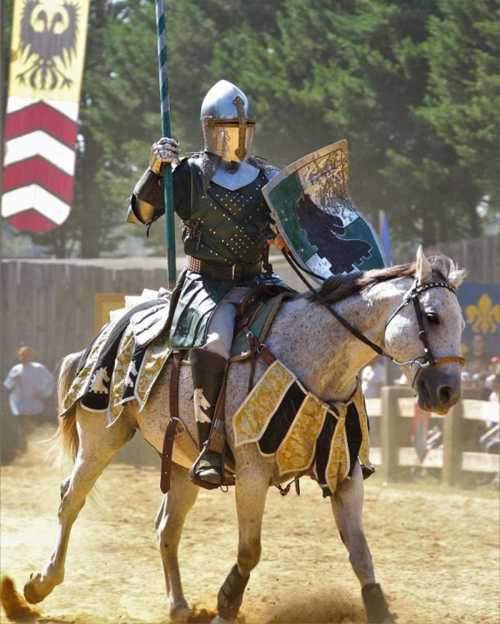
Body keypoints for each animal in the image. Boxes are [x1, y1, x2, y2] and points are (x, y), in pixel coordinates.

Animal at [22, 249, 464, 624]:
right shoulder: (252, 474)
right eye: (431, 315)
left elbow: (360, 553)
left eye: (460, 322)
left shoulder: (344, 473)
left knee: (167, 527)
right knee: (71, 498)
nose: (447, 392)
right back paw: (40, 584)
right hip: (102, 436)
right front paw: (226, 606)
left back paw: (179, 605)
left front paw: (379, 609)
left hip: (182, 462)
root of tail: (108, 329)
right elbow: (250, 551)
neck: (312, 357)